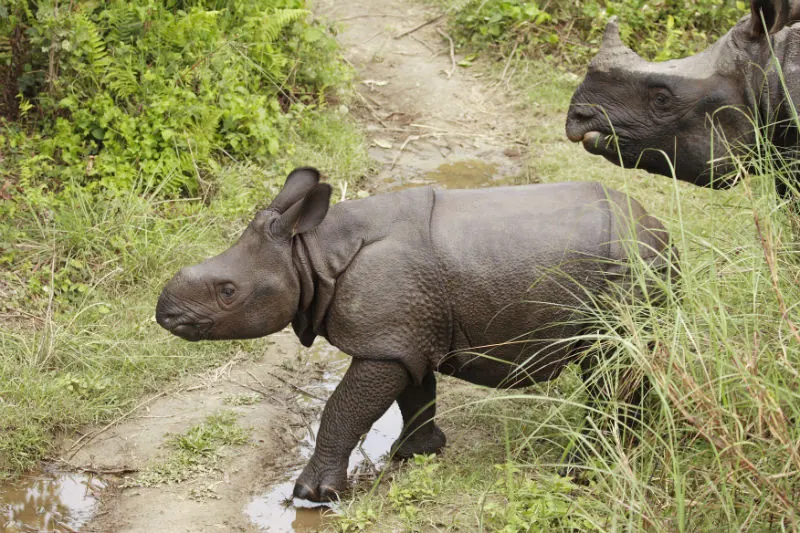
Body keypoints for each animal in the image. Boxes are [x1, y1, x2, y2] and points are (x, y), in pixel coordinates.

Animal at [155, 167, 674, 502]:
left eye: (228, 291)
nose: (164, 313)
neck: (312, 253)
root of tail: (657, 229)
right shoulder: (405, 335)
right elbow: (417, 394)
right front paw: (415, 453)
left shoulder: (385, 343)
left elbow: (343, 409)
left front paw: (313, 495)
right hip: (638, 269)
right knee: (631, 363)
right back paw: (630, 447)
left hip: (627, 272)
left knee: (609, 366)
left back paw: (579, 469)